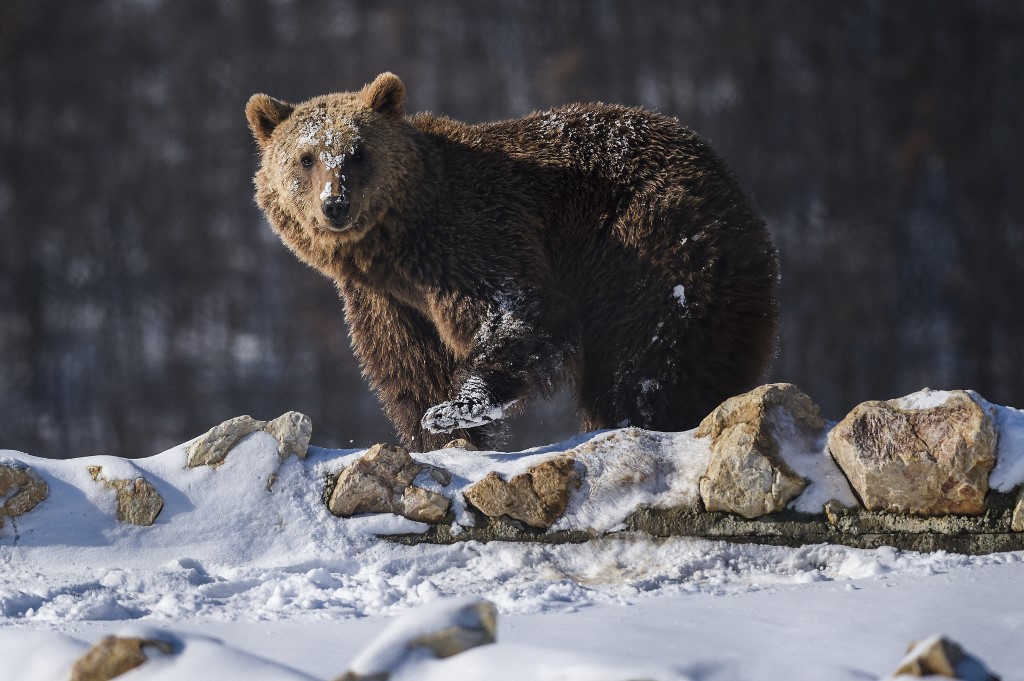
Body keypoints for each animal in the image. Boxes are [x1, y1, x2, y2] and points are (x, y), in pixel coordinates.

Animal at [245, 73, 774, 450]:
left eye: (357, 152)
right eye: (306, 157)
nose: (335, 204)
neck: (395, 248)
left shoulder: (473, 237)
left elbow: (520, 315)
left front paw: (458, 407)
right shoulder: (386, 301)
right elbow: (410, 367)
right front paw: (437, 434)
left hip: (648, 242)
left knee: (643, 355)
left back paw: (641, 418)